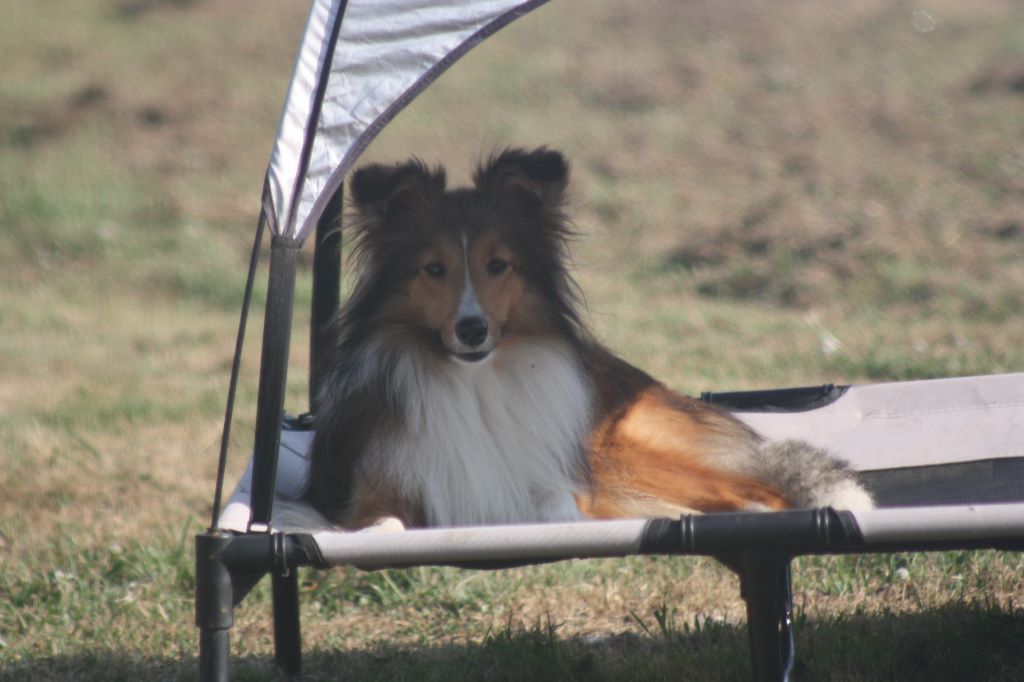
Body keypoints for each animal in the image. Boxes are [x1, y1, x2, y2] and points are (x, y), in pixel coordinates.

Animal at [303, 146, 872, 528]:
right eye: (433, 269)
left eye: (498, 264)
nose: (472, 329)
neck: (473, 383)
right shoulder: (368, 494)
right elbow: (381, 523)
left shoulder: (563, 484)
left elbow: (556, 509)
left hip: (620, 452)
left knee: (758, 491)